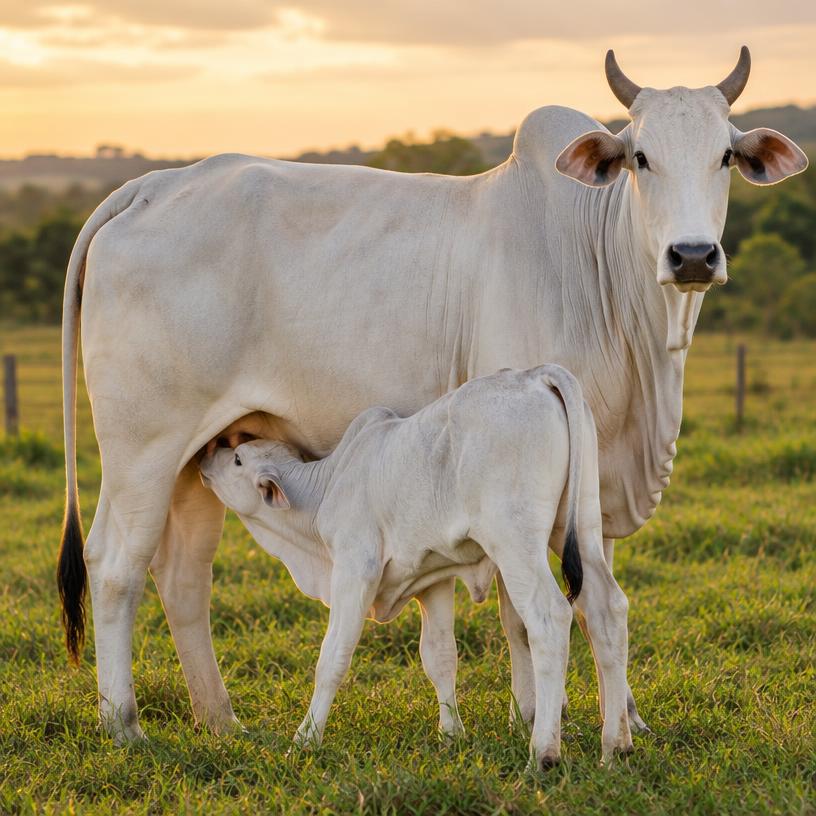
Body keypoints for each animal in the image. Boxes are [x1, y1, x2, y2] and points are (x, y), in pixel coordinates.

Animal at [199, 365, 632, 768]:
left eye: (237, 459)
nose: (205, 454)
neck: (325, 491)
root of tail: (535, 375)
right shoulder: (431, 579)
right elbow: (440, 657)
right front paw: (451, 735)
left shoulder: (355, 568)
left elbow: (332, 657)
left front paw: (305, 739)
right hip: (581, 527)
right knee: (607, 609)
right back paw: (616, 747)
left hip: (516, 542)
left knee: (551, 616)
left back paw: (544, 752)